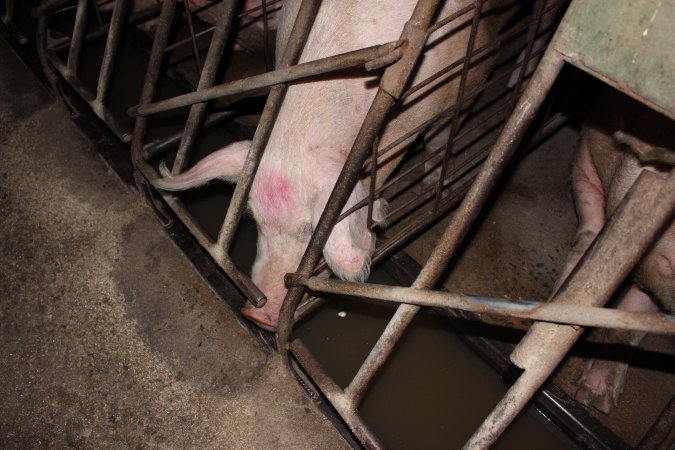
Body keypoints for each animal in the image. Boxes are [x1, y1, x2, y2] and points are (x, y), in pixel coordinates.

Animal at [157, 0, 516, 330]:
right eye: (255, 220)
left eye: (311, 230)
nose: (256, 316)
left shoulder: (473, 67)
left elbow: (441, 137)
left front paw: (431, 184)